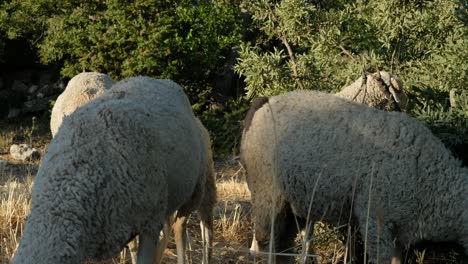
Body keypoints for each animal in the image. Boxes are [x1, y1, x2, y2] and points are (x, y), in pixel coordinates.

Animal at [243, 89, 466, 264]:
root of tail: (264, 103)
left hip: (293, 203)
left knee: (283, 248)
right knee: (266, 243)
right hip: (266, 192)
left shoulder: (398, 232)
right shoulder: (375, 218)